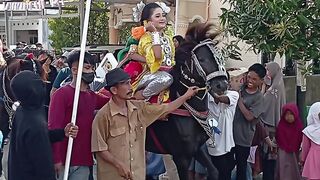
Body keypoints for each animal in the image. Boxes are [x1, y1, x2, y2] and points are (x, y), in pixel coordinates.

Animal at [145, 23, 228, 179]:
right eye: (201, 58)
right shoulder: (181, 157)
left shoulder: (196, 149)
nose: (222, 85)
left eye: (219, 58)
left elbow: (214, 171)